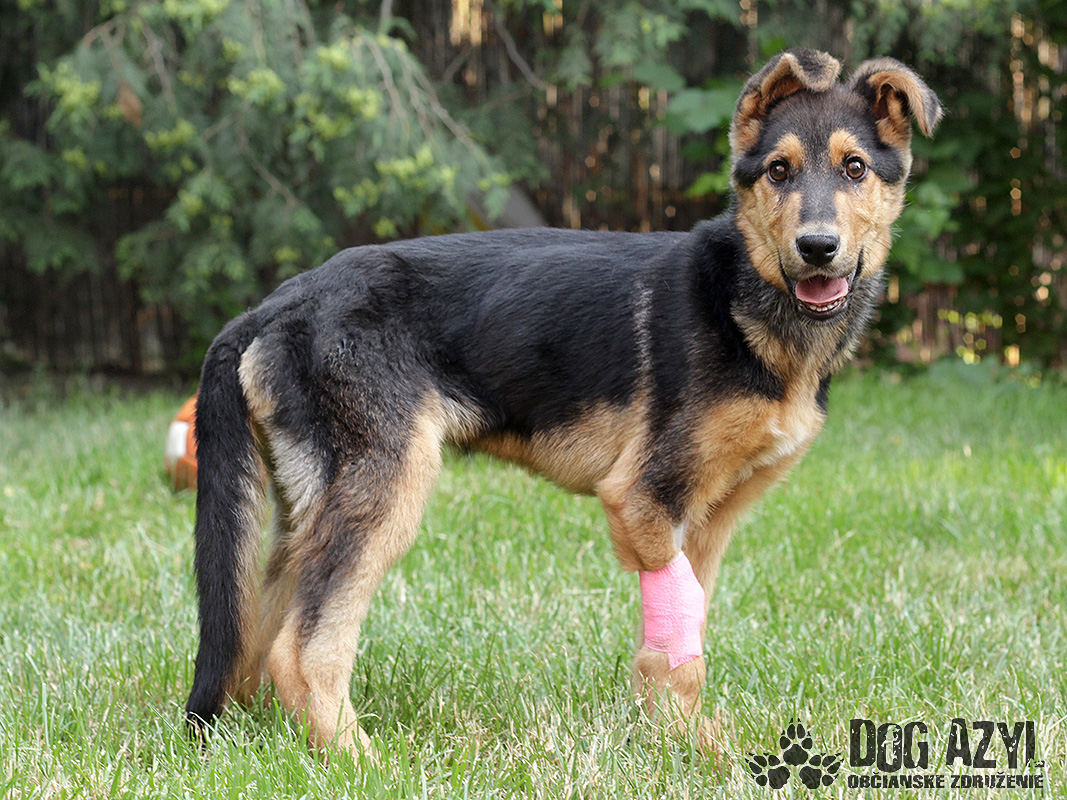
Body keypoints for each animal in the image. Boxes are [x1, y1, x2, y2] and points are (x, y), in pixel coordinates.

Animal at [185, 48, 941, 758]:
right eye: (779, 172)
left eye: (854, 169)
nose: (817, 249)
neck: (743, 298)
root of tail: (278, 303)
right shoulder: (644, 499)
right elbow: (677, 648)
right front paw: (688, 751)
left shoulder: (707, 520)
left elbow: (683, 629)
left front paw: (681, 742)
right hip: (386, 484)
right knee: (302, 647)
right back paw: (360, 759)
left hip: (311, 505)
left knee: (261, 633)